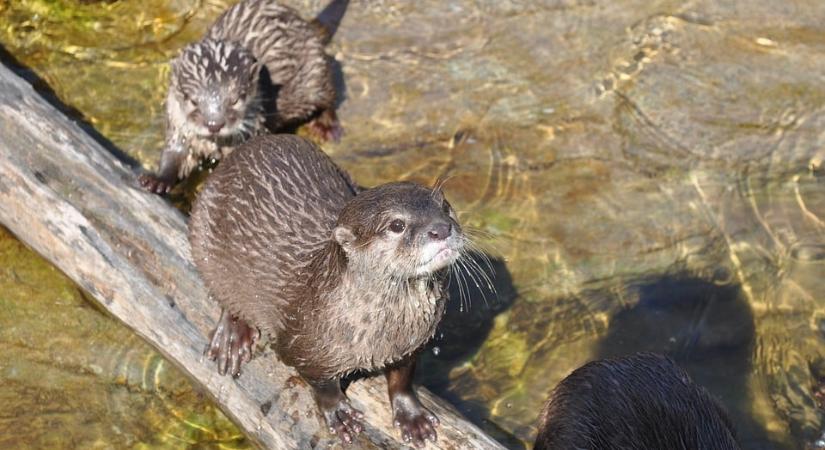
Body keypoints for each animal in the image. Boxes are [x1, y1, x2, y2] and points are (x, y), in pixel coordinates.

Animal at [140, 0, 346, 194]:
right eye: (191, 100)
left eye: (236, 99)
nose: (214, 124)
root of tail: (302, 22)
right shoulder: (178, 126)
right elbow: (174, 155)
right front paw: (157, 180)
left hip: (316, 72)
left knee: (328, 97)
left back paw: (326, 127)